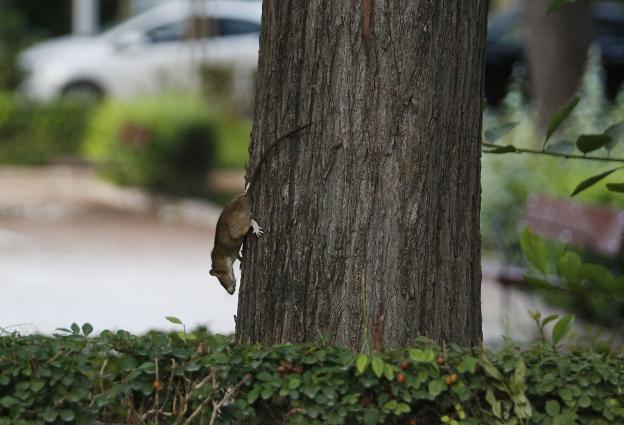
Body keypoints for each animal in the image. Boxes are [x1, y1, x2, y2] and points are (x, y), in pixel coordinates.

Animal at [210, 123, 312, 294]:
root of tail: (243, 200)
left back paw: (255, 227)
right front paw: (242, 258)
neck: (219, 259)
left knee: (248, 222)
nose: (231, 292)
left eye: (222, 281)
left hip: (237, 226)